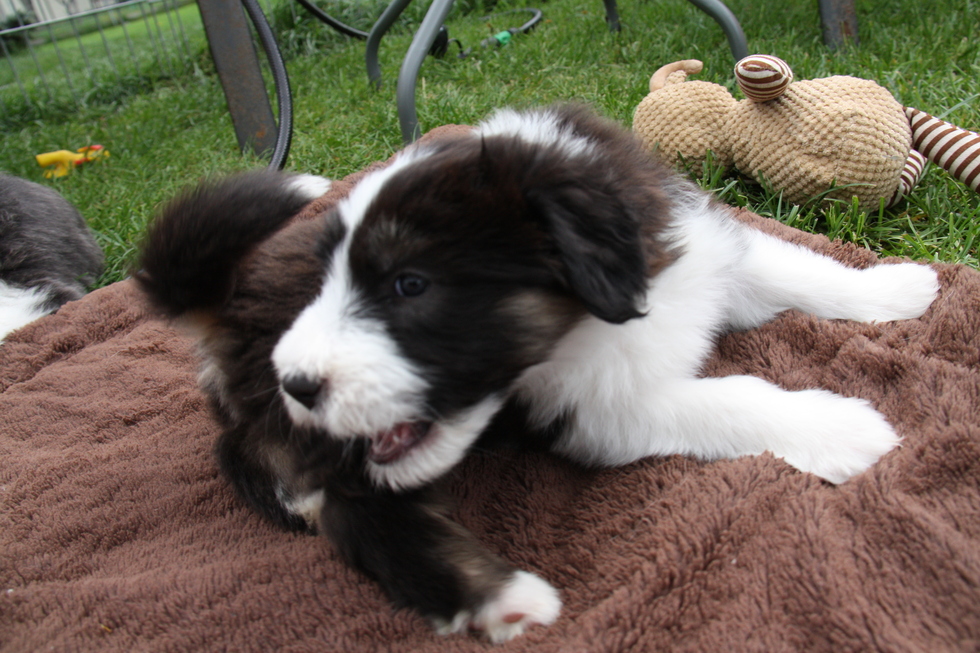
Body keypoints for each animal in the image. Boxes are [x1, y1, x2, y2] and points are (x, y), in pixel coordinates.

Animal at [135, 105, 940, 643]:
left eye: (409, 284)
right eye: (330, 281)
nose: (297, 383)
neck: (605, 313)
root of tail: (223, 308)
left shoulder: (703, 256)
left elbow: (797, 266)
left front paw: (899, 289)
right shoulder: (604, 411)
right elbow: (735, 395)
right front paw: (843, 427)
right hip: (333, 451)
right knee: (358, 513)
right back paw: (502, 598)